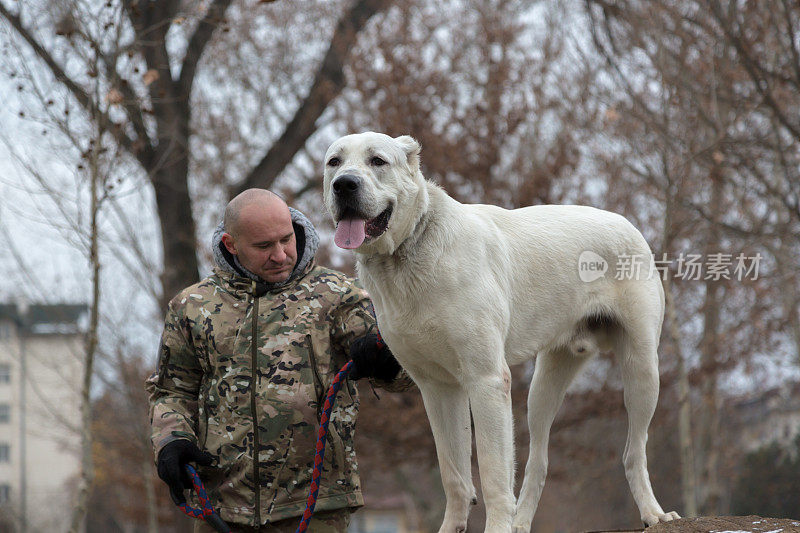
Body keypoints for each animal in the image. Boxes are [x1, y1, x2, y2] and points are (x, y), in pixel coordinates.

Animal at [322, 130, 680, 532]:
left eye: (377, 161)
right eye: (334, 162)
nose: (344, 184)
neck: (409, 251)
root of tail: (626, 224)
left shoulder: (487, 380)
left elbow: (492, 471)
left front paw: (496, 526)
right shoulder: (437, 388)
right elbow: (454, 474)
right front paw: (453, 527)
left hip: (642, 371)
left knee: (634, 451)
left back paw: (654, 513)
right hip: (543, 388)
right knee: (539, 461)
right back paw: (521, 523)